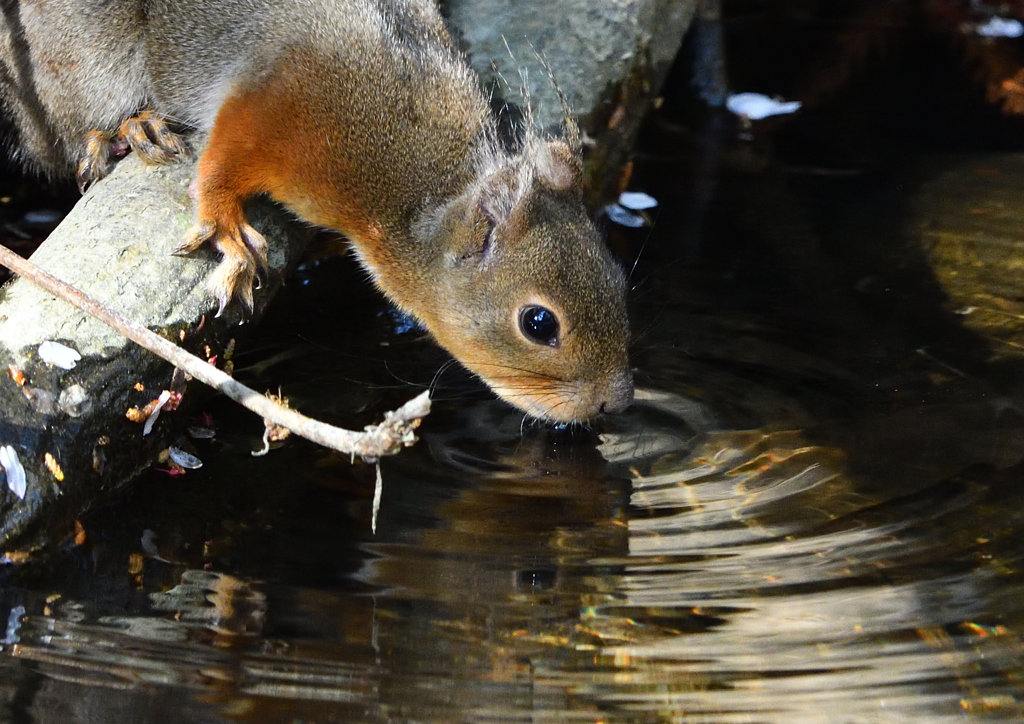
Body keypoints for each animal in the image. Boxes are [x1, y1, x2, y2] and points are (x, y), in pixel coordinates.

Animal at [0, 0, 630, 421]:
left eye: (620, 279)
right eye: (539, 323)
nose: (616, 404)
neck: (412, 177)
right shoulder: (278, 101)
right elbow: (221, 161)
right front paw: (226, 227)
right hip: (81, 57)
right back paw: (126, 129)